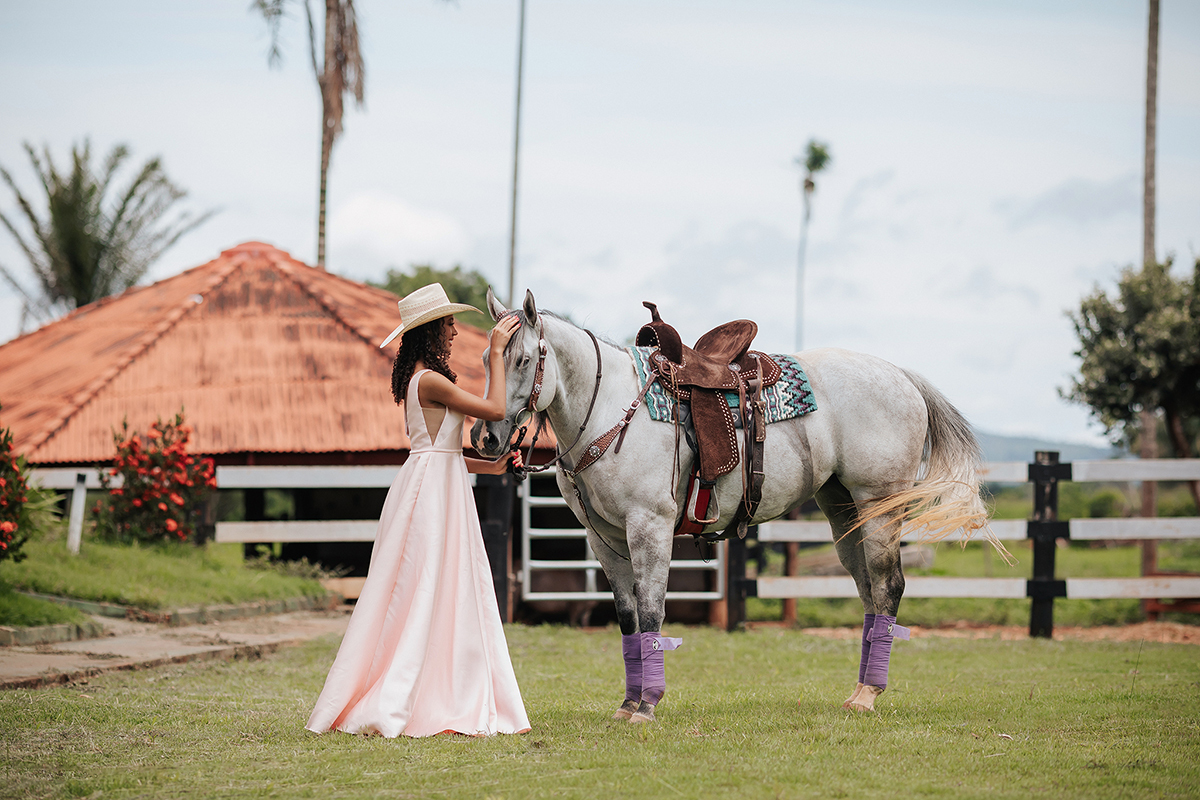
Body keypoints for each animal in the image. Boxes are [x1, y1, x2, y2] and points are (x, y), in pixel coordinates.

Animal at [471, 289, 993, 723]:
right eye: (486, 358)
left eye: (522, 359)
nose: (486, 437)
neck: (610, 410)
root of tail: (901, 375)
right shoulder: (604, 538)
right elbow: (627, 617)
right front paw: (628, 704)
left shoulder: (650, 527)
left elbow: (652, 611)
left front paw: (648, 706)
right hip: (844, 510)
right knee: (867, 589)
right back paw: (859, 691)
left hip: (879, 503)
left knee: (888, 586)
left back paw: (869, 694)